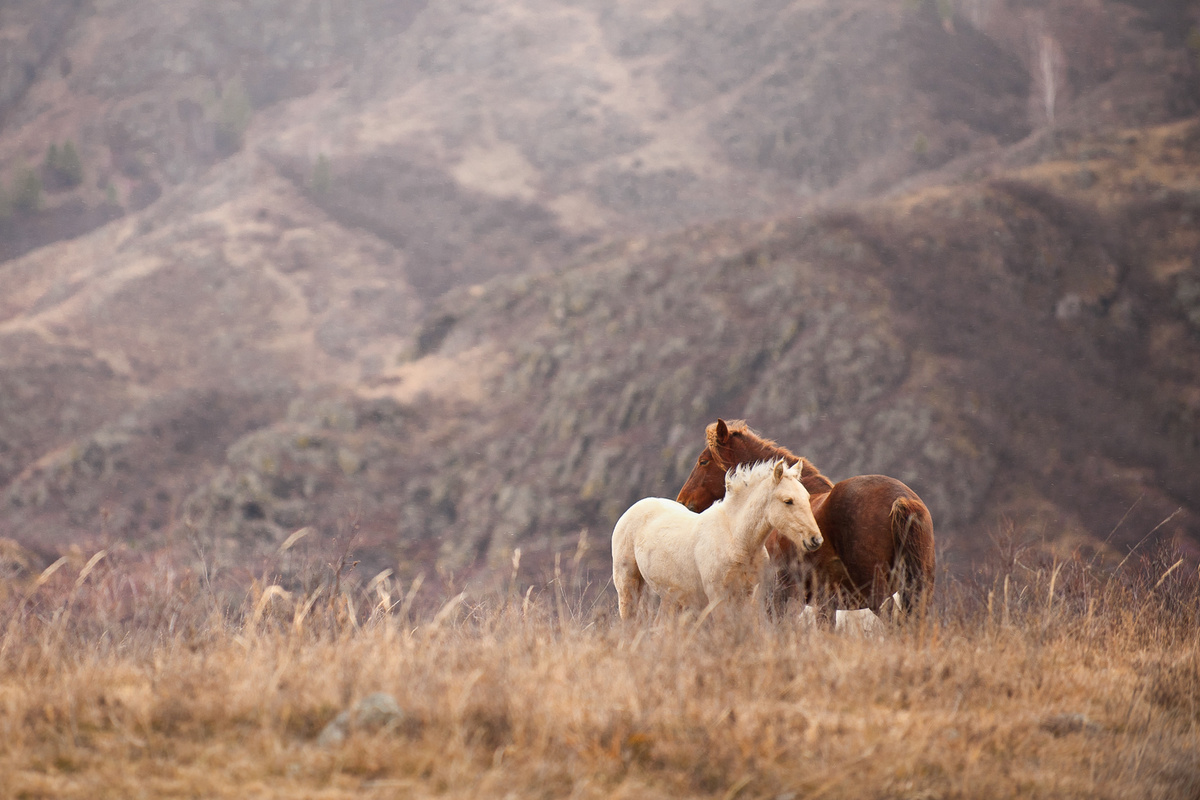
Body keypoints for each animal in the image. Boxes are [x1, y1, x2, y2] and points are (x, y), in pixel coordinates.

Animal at [614, 460, 820, 623]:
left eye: (807, 497)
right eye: (788, 501)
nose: (815, 539)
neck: (736, 539)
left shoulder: (751, 595)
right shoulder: (718, 597)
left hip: (670, 596)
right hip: (627, 586)